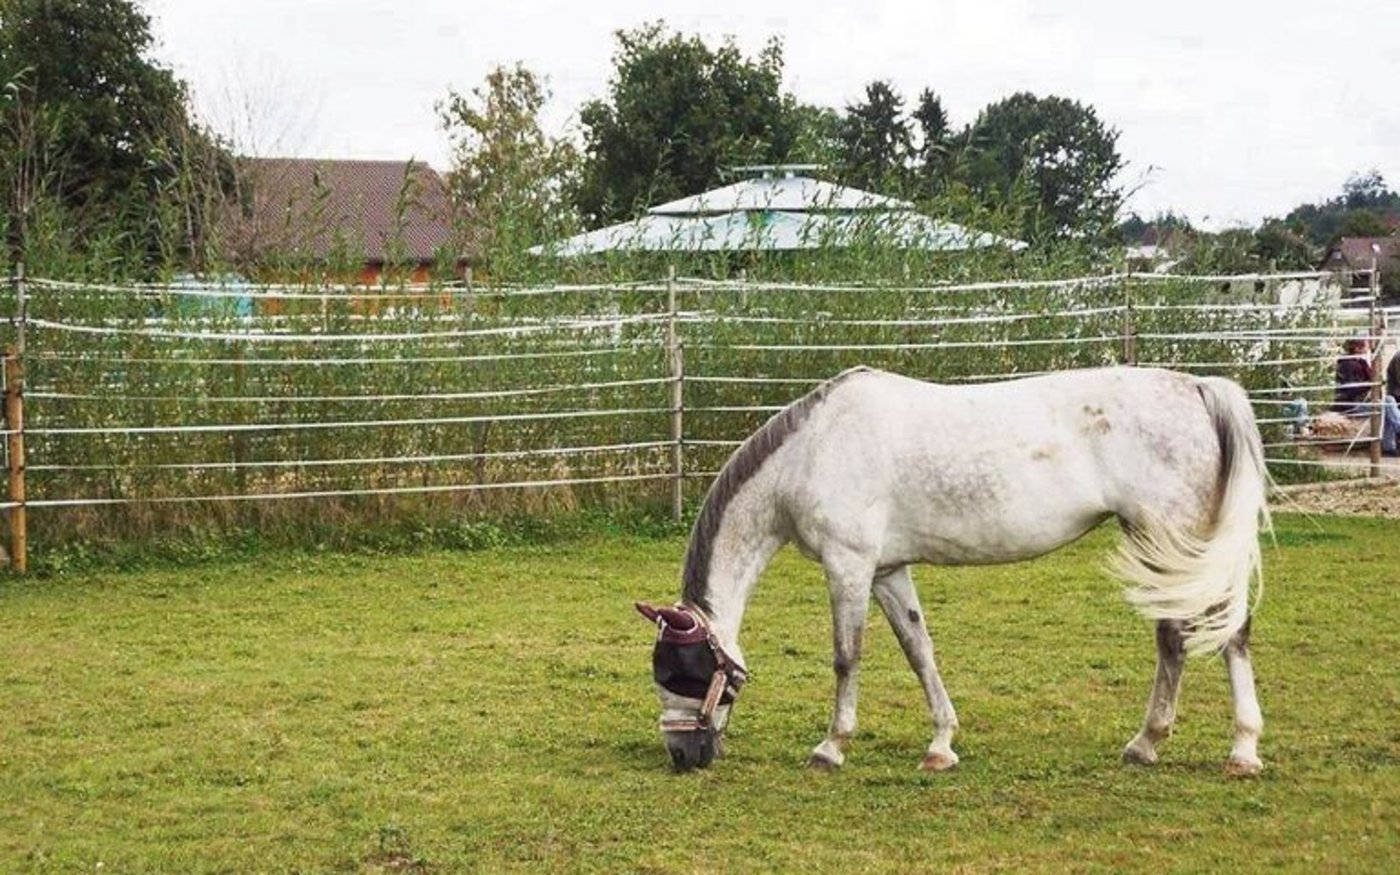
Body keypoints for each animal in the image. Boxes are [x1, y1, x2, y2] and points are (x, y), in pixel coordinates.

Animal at [636, 365, 1272, 776]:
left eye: (680, 672)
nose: (683, 756)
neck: (813, 451)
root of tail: (1199, 389)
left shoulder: (849, 565)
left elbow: (847, 657)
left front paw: (831, 746)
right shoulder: (888, 571)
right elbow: (920, 651)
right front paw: (941, 744)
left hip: (1179, 543)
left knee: (1224, 633)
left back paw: (1239, 751)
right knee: (1179, 638)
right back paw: (1149, 744)